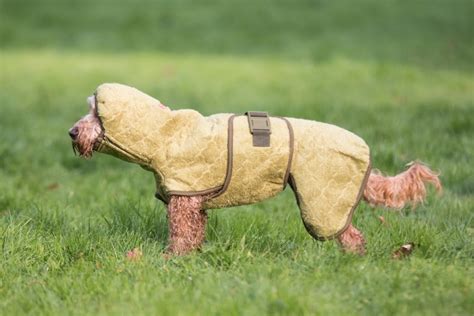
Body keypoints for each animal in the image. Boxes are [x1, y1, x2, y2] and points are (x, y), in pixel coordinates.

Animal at [67, 82, 440, 256]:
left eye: (95, 114)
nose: (72, 131)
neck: (166, 134)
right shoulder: (195, 204)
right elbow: (195, 234)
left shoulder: (183, 201)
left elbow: (180, 235)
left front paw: (171, 259)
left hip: (322, 203)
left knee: (352, 236)